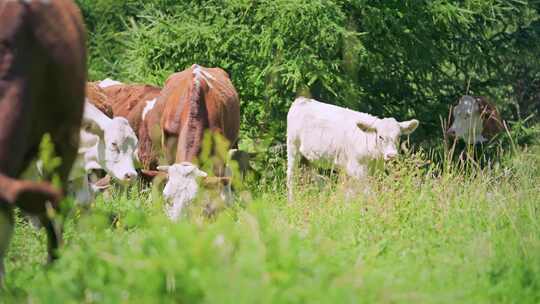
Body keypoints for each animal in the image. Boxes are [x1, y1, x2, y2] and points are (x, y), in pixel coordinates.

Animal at [284, 97, 420, 201]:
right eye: (380, 136)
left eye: (399, 136)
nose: (392, 155)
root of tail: (303, 99)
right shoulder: (355, 169)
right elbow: (366, 192)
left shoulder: (375, 171)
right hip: (292, 148)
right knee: (291, 177)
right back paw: (291, 202)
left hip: (311, 158)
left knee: (315, 178)